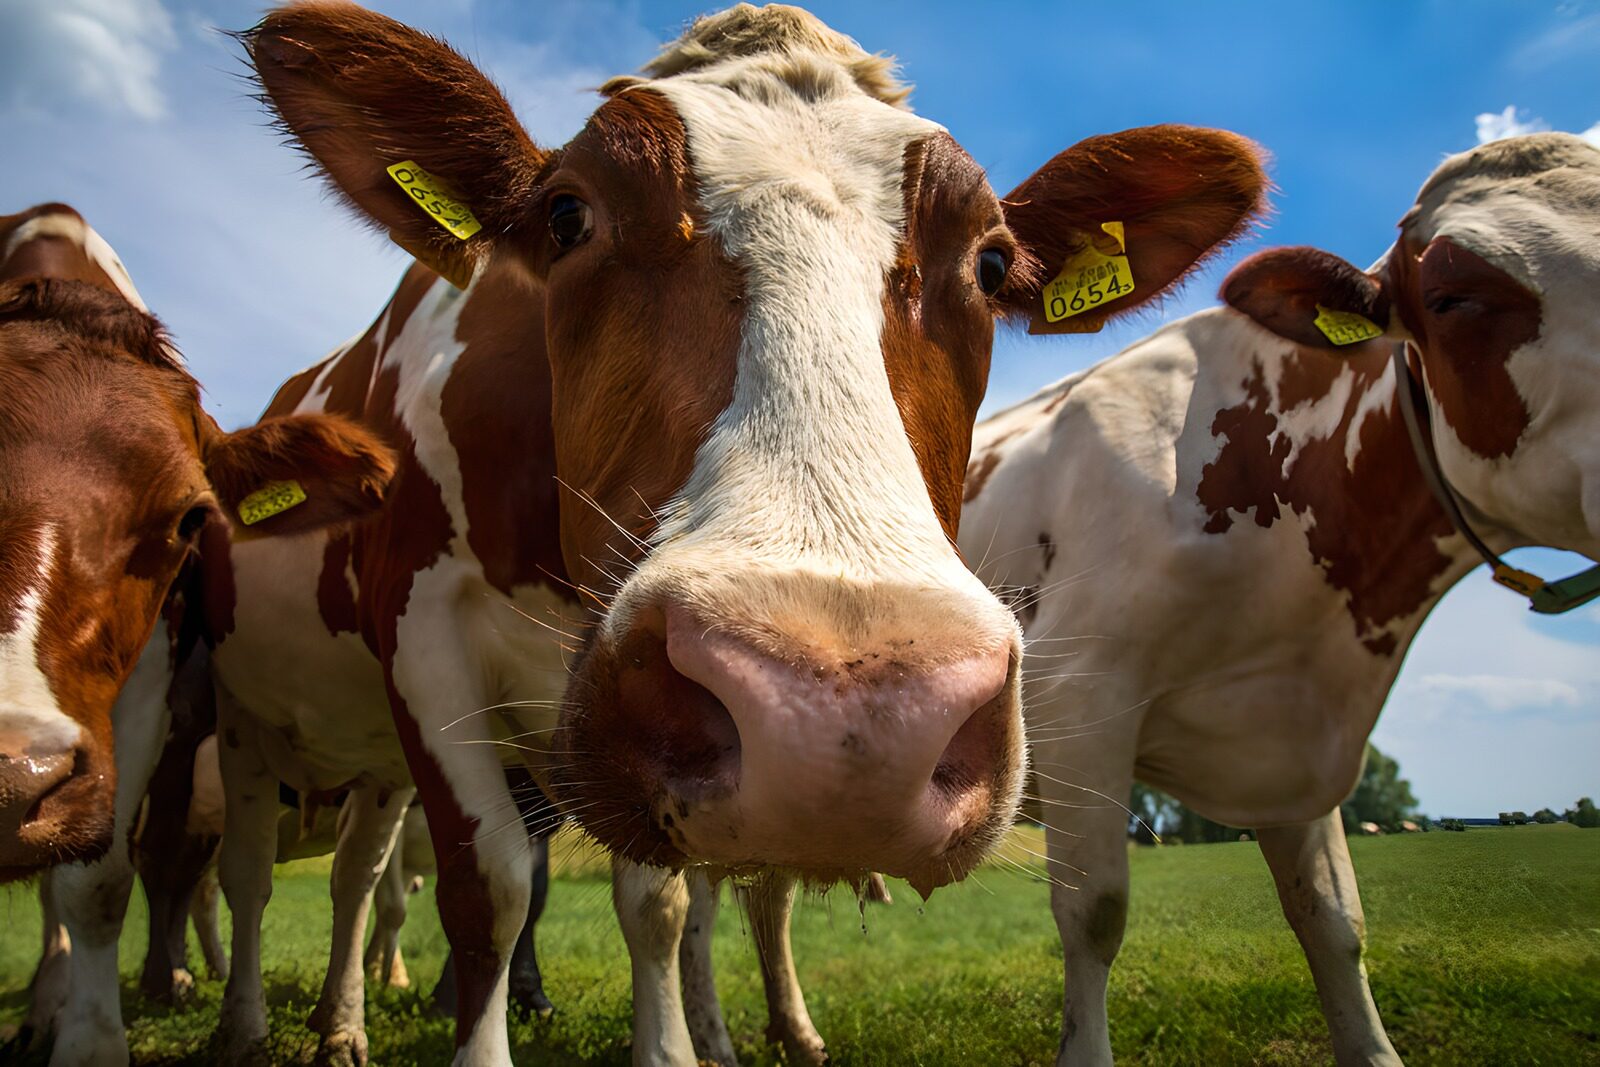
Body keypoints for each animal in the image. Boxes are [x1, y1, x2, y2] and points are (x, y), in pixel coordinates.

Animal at [224, 3, 1268, 1062]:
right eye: (567, 216)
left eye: (990, 263)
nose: (846, 716)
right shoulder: (422, 631)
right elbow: (492, 891)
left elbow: (658, 905)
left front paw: (676, 1044)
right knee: (275, 875)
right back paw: (266, 1020)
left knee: (356, 871)